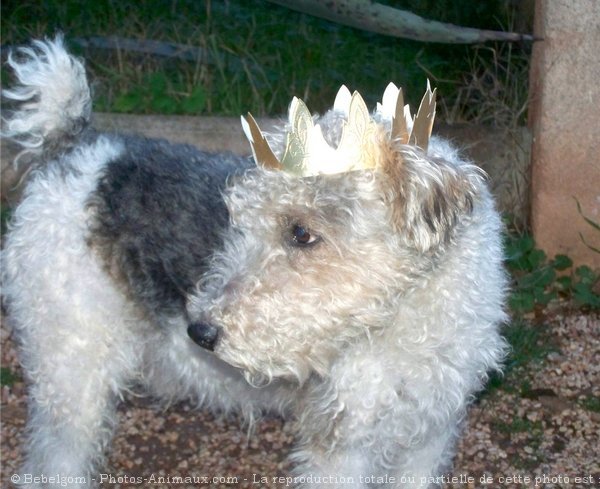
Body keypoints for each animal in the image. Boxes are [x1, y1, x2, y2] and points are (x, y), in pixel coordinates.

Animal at [1, 35, 506, 488]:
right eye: (240, 219)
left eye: (301, 233)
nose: (200, 332)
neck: (412, 319)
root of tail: (75, 150)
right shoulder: (343, 443)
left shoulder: (429, 433)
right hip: (71, 369)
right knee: (52, 461)